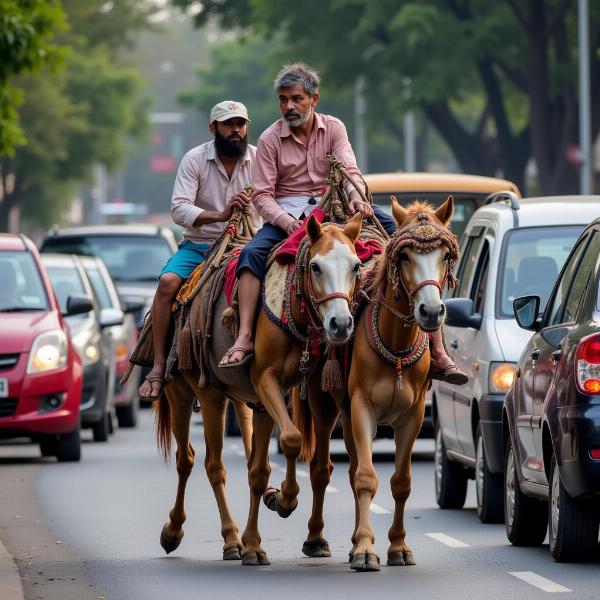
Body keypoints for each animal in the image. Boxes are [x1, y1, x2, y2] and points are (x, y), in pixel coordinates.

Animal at [155, 213, 360, 564]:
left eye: (357, 266)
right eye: (316, 267)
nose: (341, 324)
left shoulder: (280, 391)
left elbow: (267, 465)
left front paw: (266, 527)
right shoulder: (265, 379)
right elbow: (290, 439)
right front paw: (286, 500)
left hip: (241, 398)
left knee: (246, 457)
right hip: (189, 391)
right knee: (197, 462)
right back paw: (198, 535)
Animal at [346, 197, 460, 572]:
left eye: (445, 255)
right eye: (405, 257)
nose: (432, 312)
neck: (395, 347)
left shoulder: (414, 414)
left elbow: (402, 482)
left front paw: (398, 546)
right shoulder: (360, 408)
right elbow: (366, 477)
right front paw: (365, 549)